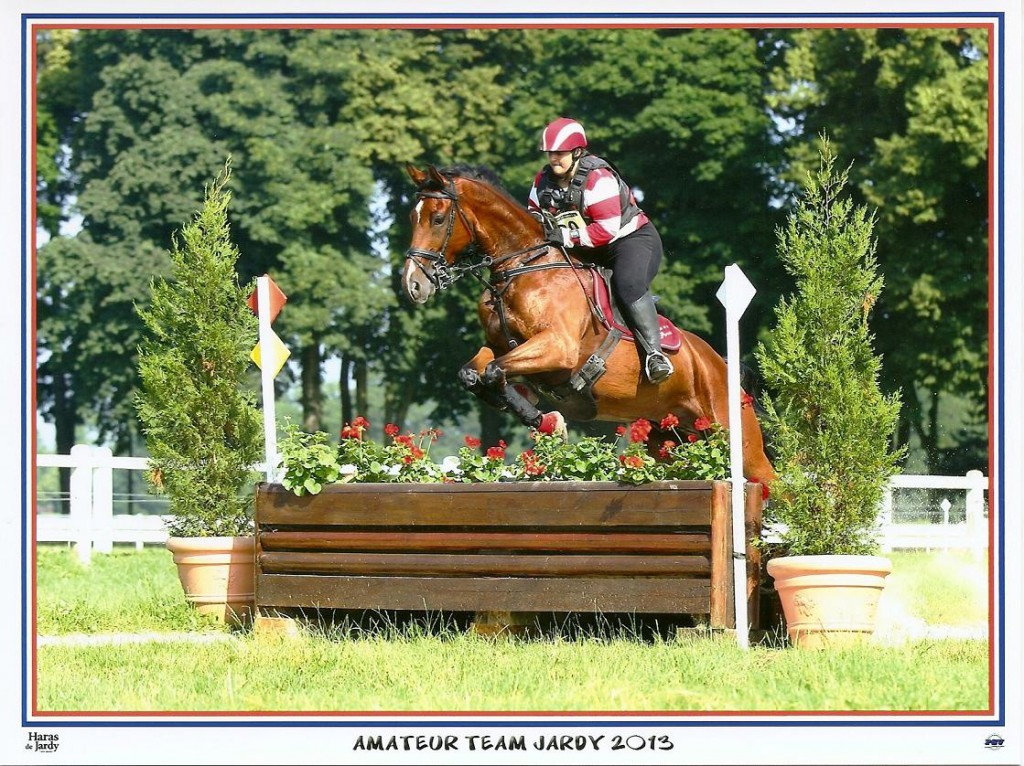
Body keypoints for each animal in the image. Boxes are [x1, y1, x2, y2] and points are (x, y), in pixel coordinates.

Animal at [399, 162, 774, 485]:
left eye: (437, 218)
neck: (522, 267)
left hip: (736, 438)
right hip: (669, 437)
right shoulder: (500, 346)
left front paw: (549, 421)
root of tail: (718, 363)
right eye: (413, 217)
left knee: (772, 481)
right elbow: (474, 373)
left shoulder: (557, 348)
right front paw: (544, 417)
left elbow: (493, 372)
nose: (413, 284)